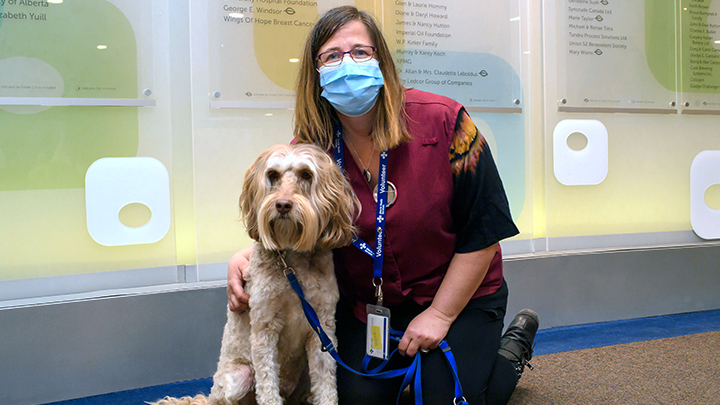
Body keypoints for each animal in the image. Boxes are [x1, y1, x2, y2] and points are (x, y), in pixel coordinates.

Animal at [152, 144, 358, 404]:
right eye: (272, 175)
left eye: (306, 175)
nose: (282, 204)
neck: (292, 262)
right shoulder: (263, 329)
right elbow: (268, 386)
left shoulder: (322, 330)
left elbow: (326, 386)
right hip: (238, 378)